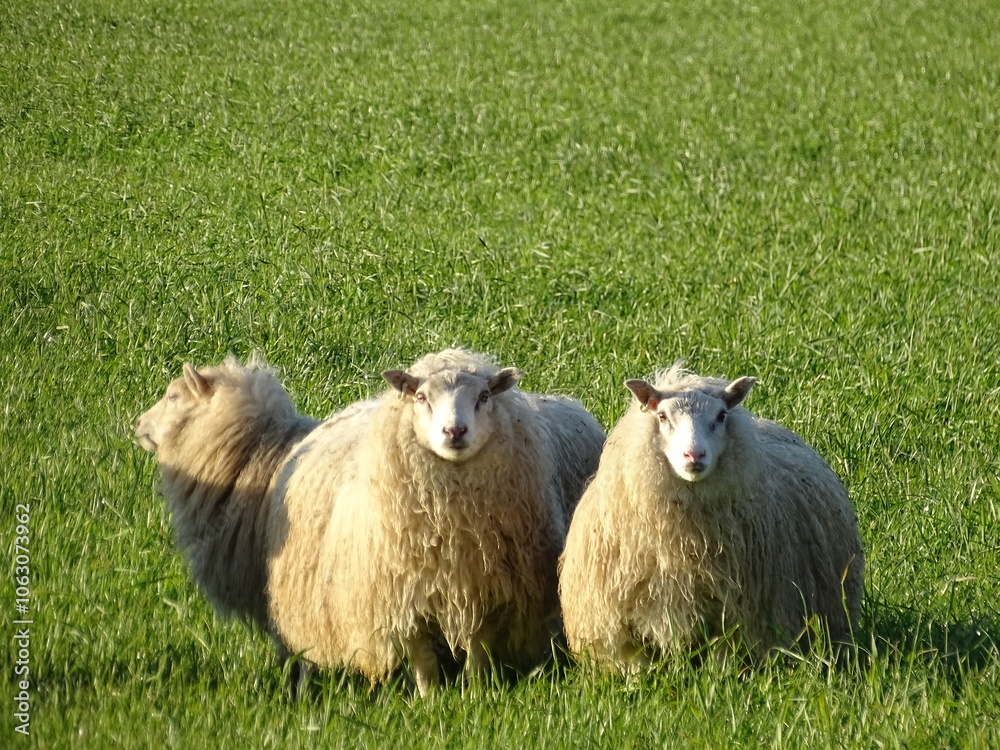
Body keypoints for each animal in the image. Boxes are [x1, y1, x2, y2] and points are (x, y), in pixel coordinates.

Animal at [136, 350, 605, 695]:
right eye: (420, 397)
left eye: (484, 398)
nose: (454, 432)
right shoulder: (400, 594)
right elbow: (422, 659)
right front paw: (433, 701)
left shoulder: (481, 590)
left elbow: (476, 652)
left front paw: (475, 696)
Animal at [558, 363, 864, 671]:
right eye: (662, 415)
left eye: (721, 415)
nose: (694, 455)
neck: (684, 544)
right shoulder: (616, 627)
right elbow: (635, 666)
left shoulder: (739, 617)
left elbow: (723, 664)